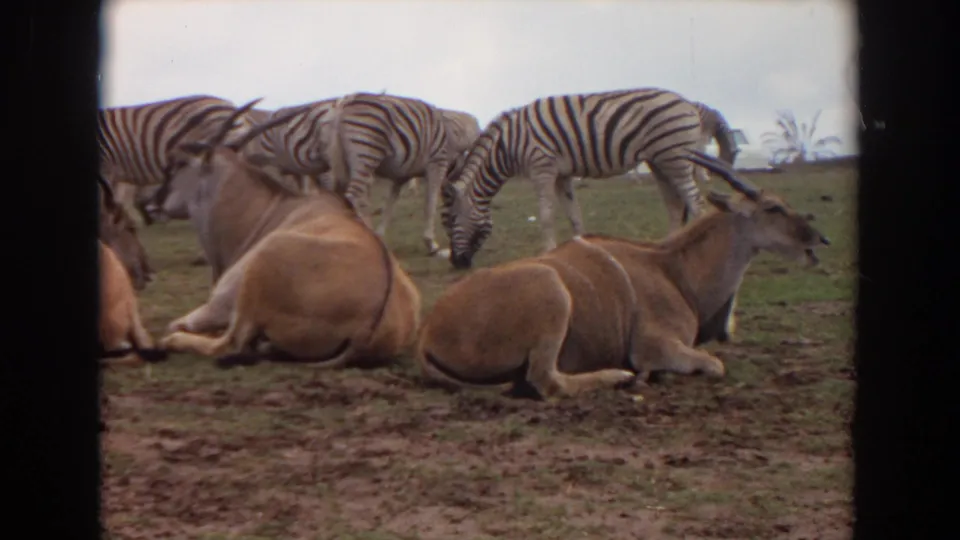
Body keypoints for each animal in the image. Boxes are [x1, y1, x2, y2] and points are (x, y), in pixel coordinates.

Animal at [317, 92, 467, 257]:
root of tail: (345, 103)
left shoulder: (401, 176)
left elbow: (389, 206)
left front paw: (380, 236)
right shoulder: (437, 163)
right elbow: (430, 204)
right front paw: (431, 245)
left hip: (336, 160)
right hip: (366, 154)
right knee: (351, 198)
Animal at [440, 87, 712, 270]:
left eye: (452, 221)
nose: (456, 263)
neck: (507, 147)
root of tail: (688, 103)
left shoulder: (542, 169)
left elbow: (546, 217)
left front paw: (547, 252)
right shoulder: (563, 175)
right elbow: (574, 216)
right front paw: (583, 248)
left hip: (675, 158)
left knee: (696, 204)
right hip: (659, 162)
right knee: (675, 207)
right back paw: (666, 249)